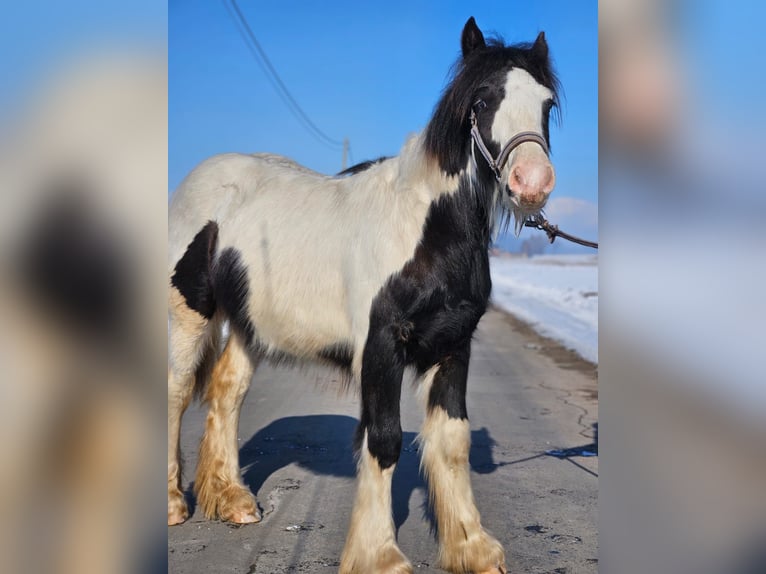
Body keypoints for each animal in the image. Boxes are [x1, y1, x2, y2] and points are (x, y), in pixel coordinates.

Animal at [168, 16, 560, 574]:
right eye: (483, 100)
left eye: (546, 103)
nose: (533, 182)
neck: (426, 229)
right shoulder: (381, 347)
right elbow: (385, 440)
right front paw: (380, 554)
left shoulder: (454, 346)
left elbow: (452, 443)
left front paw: (472, 548)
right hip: (189, 314)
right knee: (178, 391)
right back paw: (174, 504)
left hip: (249, 325)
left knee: (226, 391)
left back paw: (233, 500)